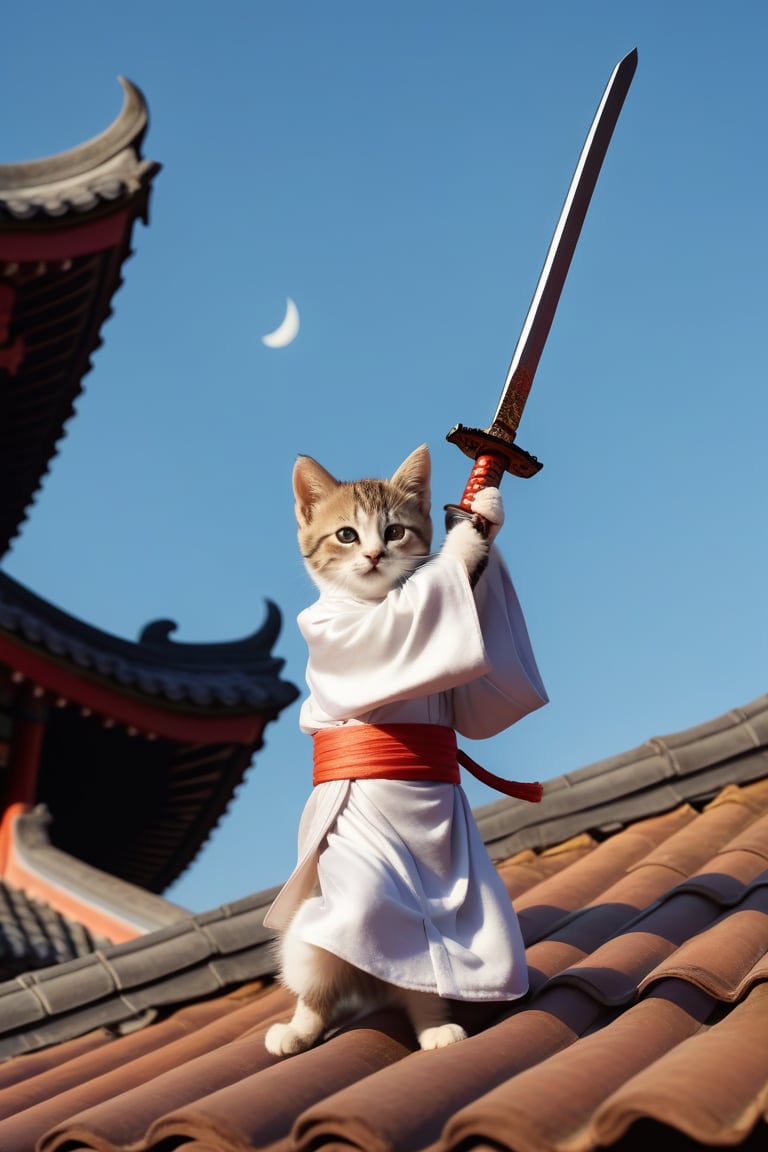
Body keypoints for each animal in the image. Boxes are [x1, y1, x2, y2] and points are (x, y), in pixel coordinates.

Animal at [264, 444, 504, 1055]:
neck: (370, 601)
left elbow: (485, 704)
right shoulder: (337, 637)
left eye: (395, 531)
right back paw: (298, 1029)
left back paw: (435, 1024)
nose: (374, 554)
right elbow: (402, 627)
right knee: (318, 975)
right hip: (319, 920)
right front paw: (463, 543)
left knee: (416, 985)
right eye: (346, 535)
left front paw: (485, 513)